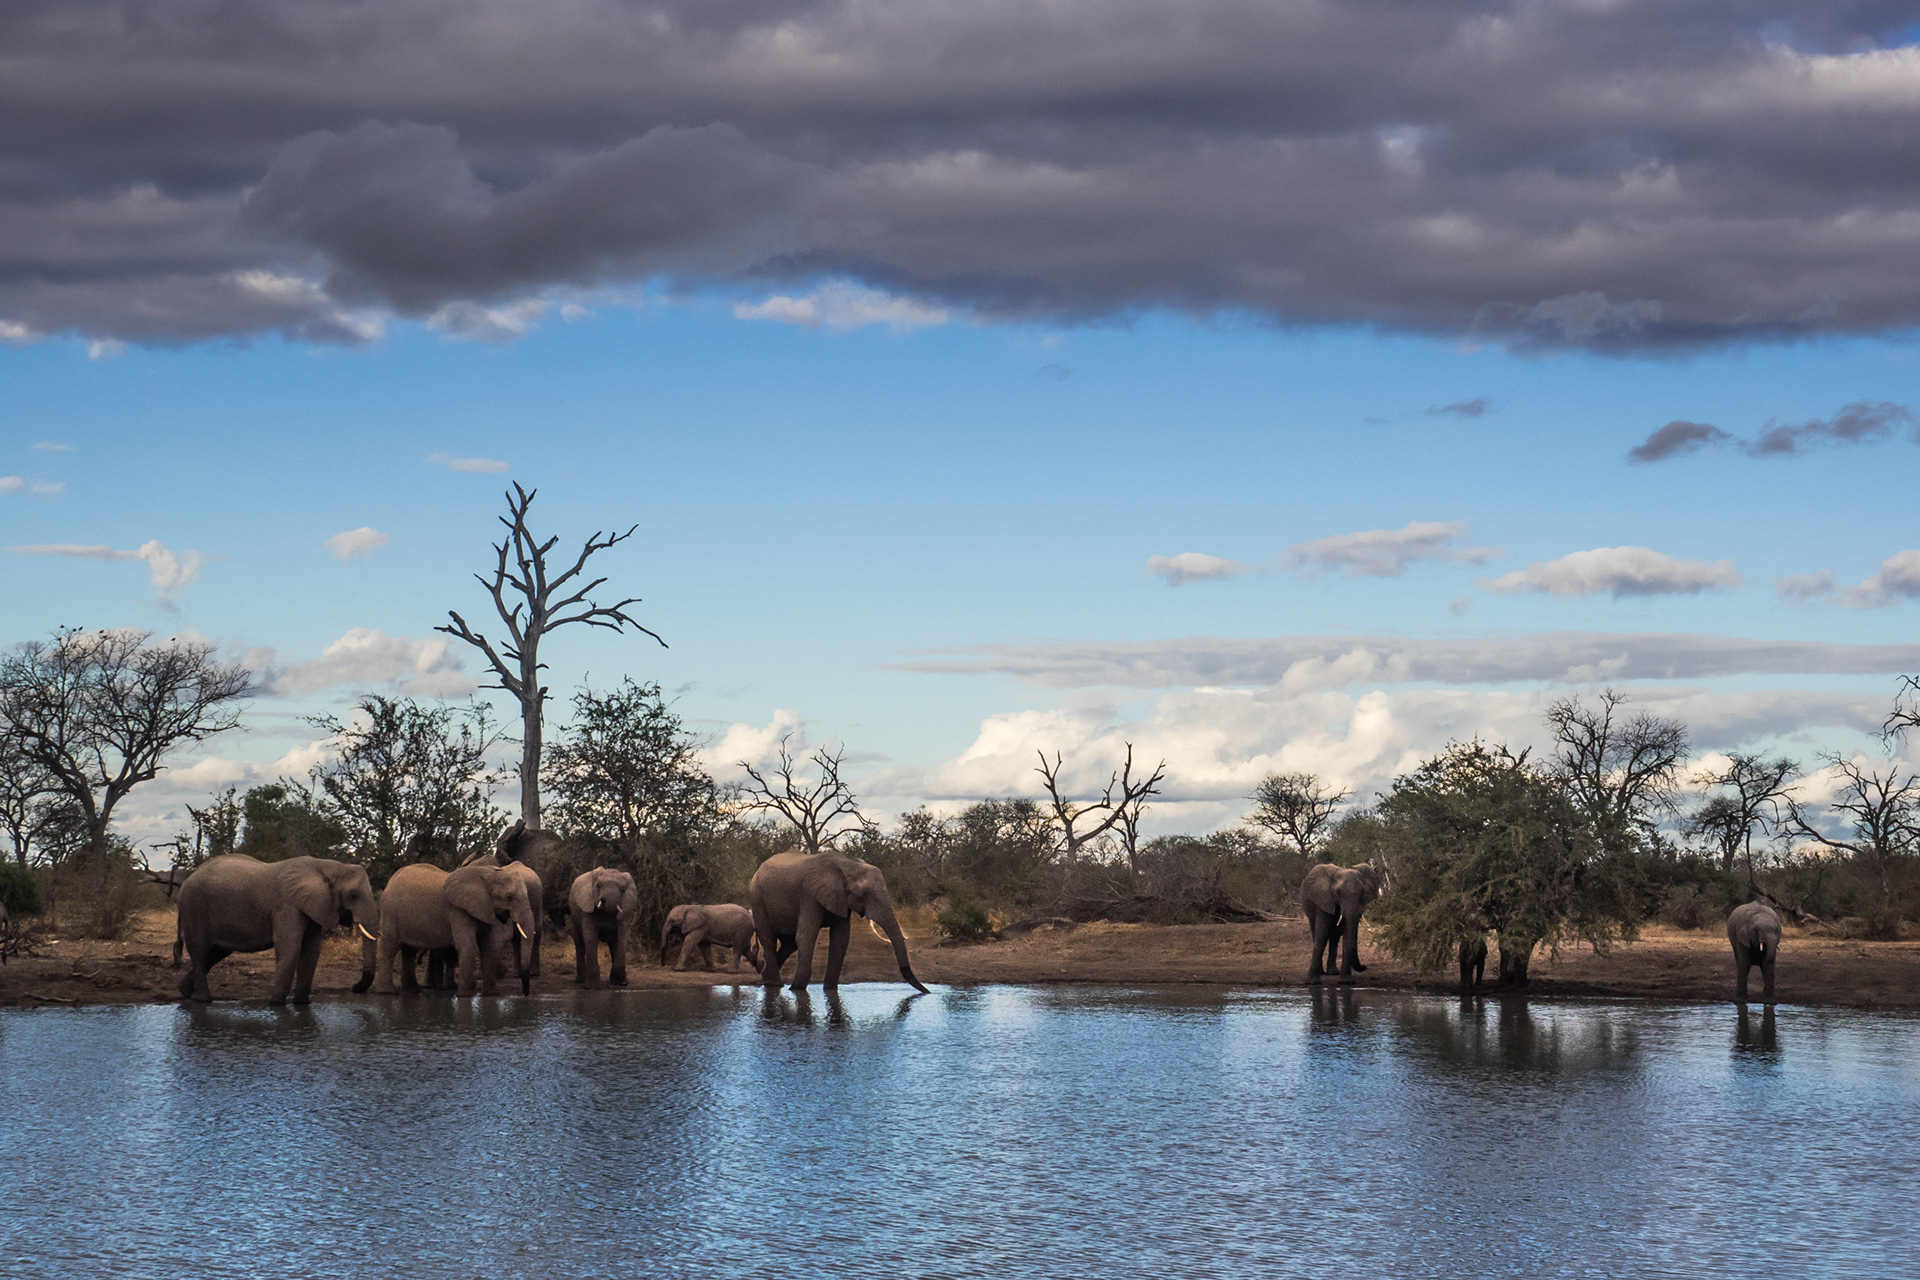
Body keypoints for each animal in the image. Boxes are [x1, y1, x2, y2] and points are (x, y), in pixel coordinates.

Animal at [174, 854, 379, 1004]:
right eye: (353, 895)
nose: (354, 988)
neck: (327, 866)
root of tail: (187, 880)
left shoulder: (314, 906)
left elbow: (311, 951)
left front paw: (302, 1004)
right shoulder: (286, 906)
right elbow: (290, 948)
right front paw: (276, 1004)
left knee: (217, 952)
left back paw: (185, 992)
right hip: (194, 908)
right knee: (200, 950)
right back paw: (202, 1000)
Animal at [371, 862, 535, 996]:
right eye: (509, 897)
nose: (525, 994)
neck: (485, 873)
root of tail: (390, 882)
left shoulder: (484, 908)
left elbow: (488, 946)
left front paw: (491, 994)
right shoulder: (458, 910)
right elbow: (468, 945)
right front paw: (464, 995)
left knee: (409, 950)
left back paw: (412, 990)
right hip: (390, 911)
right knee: (390, 946)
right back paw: (387, 992)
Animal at [749, 850, 930, 994]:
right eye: (864, 894)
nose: (927, 992)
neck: (847, 865)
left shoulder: (841, 899)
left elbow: (841, 938)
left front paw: (829, 989)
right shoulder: (809, 894)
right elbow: (806, 935)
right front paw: (797, 989)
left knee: (789, 944)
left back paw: (765, 977)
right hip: (757, 896)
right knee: (769, 939)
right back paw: (775, 984)